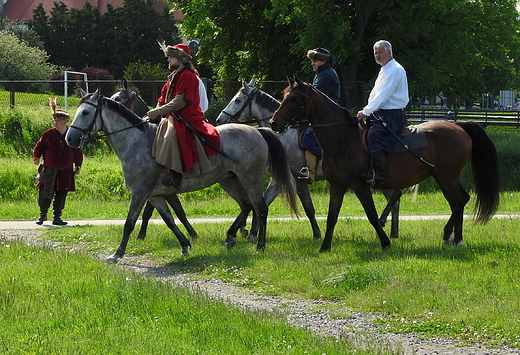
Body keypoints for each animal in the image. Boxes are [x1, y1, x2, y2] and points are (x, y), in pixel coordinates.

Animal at [215, 78, 402, 239]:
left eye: (237, 100)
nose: (219, 119)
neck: (284, 137)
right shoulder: (281, 179)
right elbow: (266, 202)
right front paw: (251, 231)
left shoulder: (296, 178)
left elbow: (305, 207)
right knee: (395, 198)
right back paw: (394, 231)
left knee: (395, 196)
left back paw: (384, 223)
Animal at [268, 76, 500, 252]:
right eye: (284, 96)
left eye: (294, 98)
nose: (273, 123)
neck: (343, 138)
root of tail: (459, 127)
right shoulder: (337, 185)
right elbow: (332, 216)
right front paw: (325, 246)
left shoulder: (360, 186)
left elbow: (371, 215)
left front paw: (385, 242)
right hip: (444, 178)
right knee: (456, 202)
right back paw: (456, 237)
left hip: (446, 176)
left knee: (461, 199)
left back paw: (448, 234)